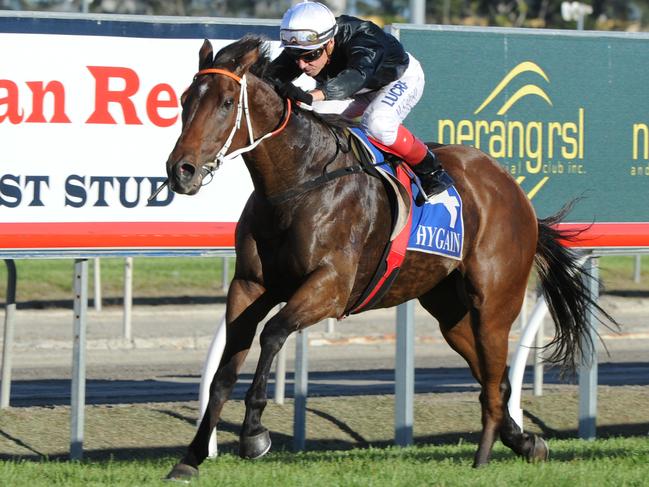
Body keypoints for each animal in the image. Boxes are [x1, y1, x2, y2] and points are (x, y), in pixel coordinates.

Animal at [161, 37, 612, 480]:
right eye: (184, 100)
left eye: (225, 103)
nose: (181, 171)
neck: (298, 183)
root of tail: (513, 189)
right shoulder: (249, 286)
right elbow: (223, 372)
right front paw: (191, 458)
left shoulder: (330, 286)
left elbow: (272, 334)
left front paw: (254, 432)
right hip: (448, 309)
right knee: (495, 380)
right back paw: (525, 443)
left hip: (495, 302)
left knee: (493, 377)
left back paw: (483, 458)